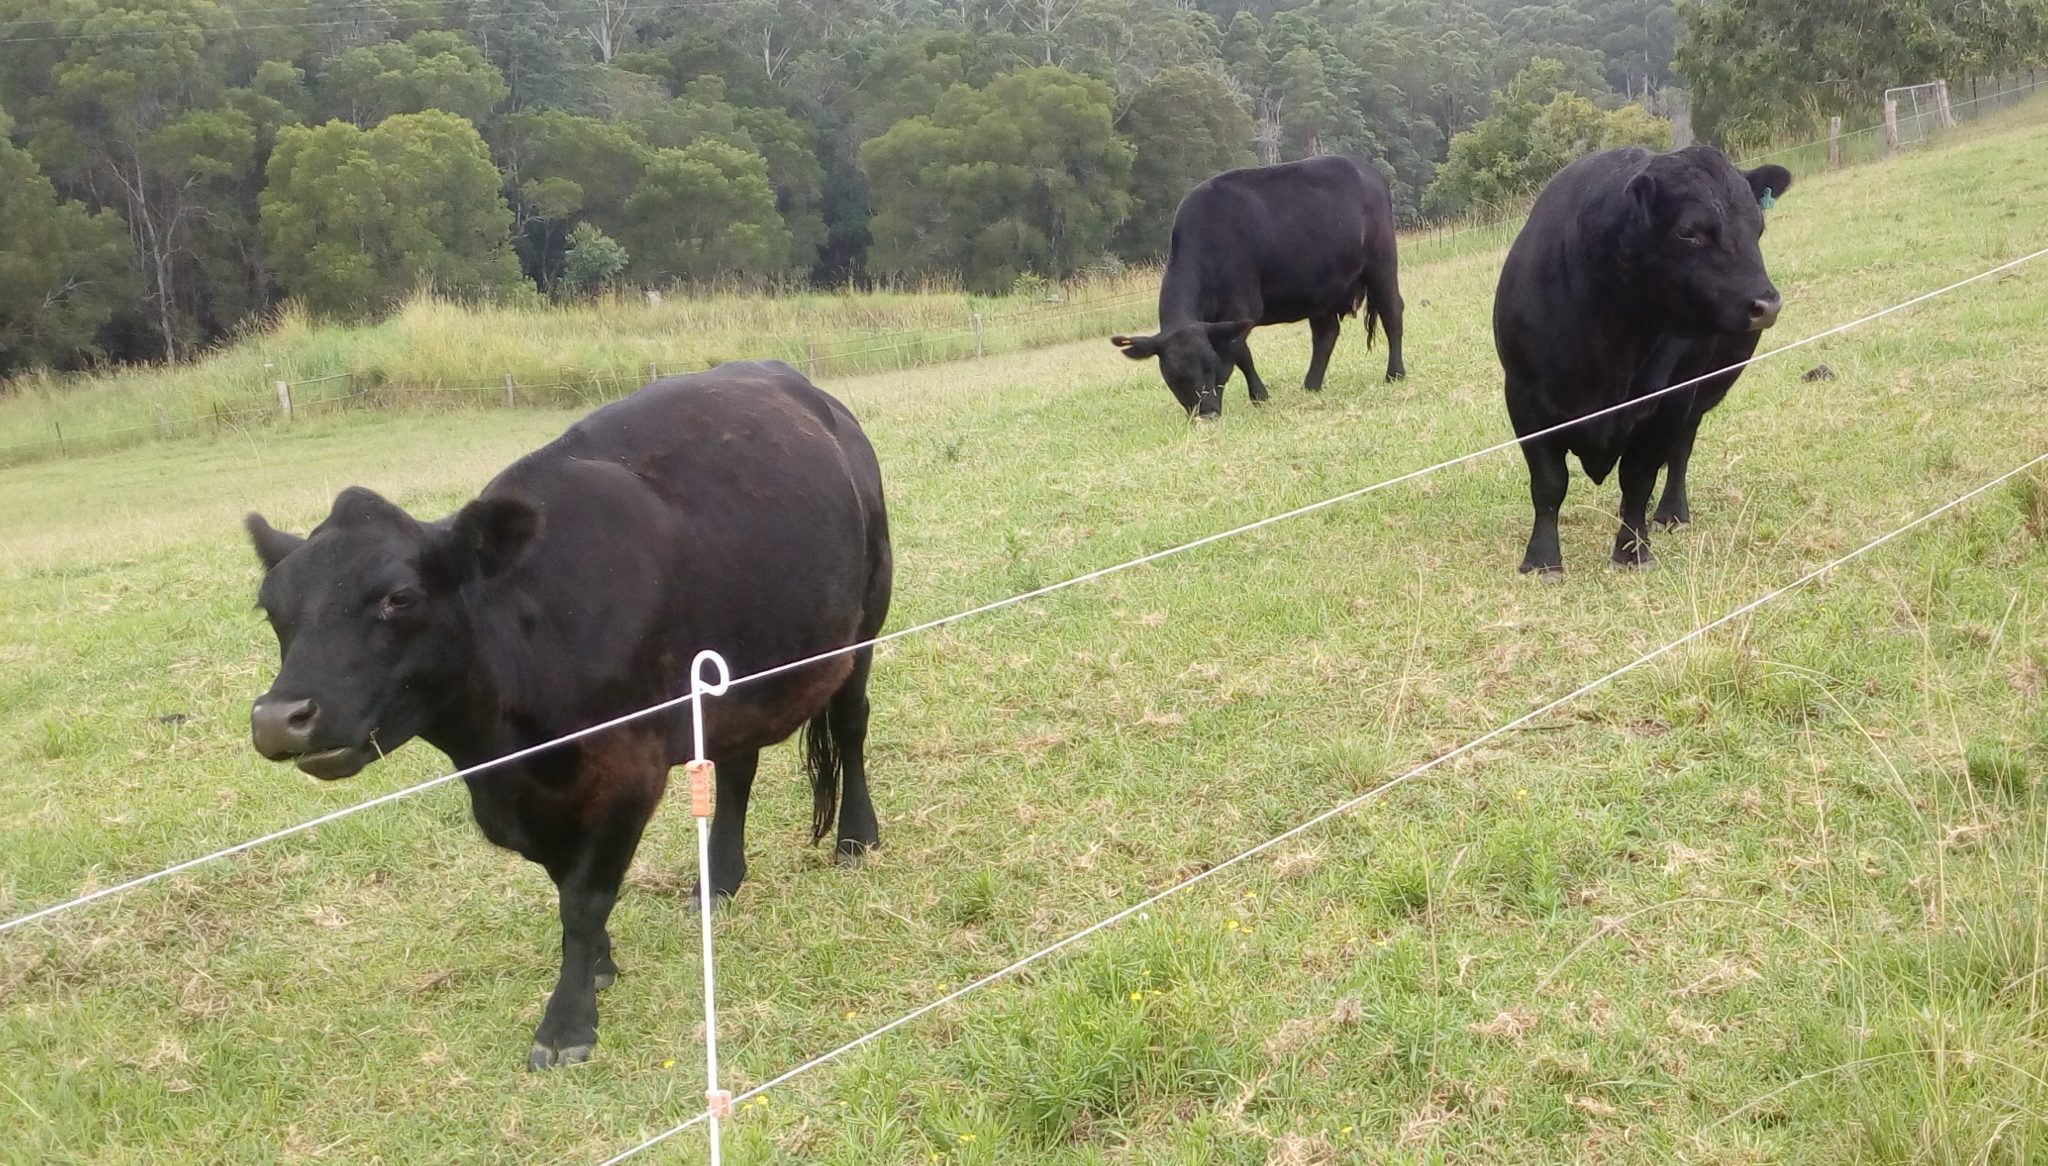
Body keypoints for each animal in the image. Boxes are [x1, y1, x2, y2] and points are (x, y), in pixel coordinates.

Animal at [242, 361, 892, 1070]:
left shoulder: (628, 765)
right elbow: (563, 881)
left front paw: (567, 1022)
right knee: (736, 766)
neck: (506, 754)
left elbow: (584, 896)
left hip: (865, 620)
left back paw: (856, 840)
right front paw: (600, 965)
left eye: (398, 597)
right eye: (272, 608)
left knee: (850, 726)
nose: (278, 717)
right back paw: (718, 879)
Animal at [1111, 154, 1406, 418]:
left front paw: (1257, 396)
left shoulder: (1242, 309)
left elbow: (1236, 355)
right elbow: (1243, 354)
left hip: (1381, 263)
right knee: (1326, 333)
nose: (1206, 413)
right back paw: (1311, 385)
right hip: (1320, 288)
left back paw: (1395, 373)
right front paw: (1259, 396)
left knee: (1392, 312)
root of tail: (1366, 169)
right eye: (1173, 376)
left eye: (1209, 365)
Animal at [1494, 145, 1792, 574]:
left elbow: (1638, 476)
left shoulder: (1669, 401)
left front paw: (1632, 551)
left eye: (1759, 226)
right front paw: (1542, 561)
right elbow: (1549, 482)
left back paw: (1671, 513)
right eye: (1688, 231)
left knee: (1680, 452)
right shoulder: (1524, 396)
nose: (1766, 305)